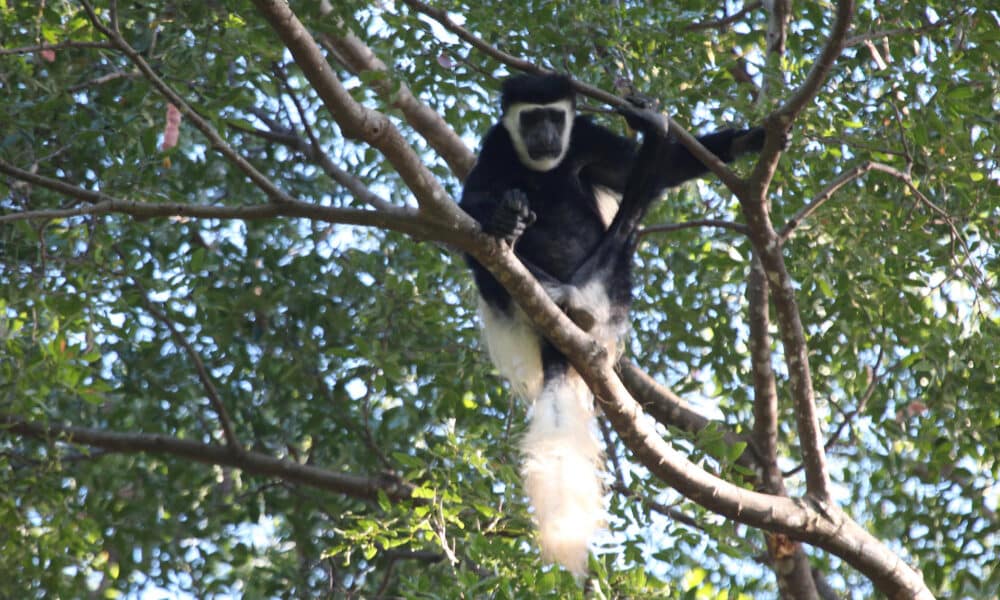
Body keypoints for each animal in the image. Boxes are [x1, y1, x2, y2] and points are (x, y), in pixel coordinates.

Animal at [462, 75, 772, 576]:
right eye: (530, 118)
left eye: (555, 117)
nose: (544, 137)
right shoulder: (496, 146)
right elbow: (470, 202)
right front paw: (503, 215)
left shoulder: (586, 138)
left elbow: (648, 174)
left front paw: (748, 138)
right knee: (480, 252)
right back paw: (530, 263)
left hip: (611, 286)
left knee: (632, 214)